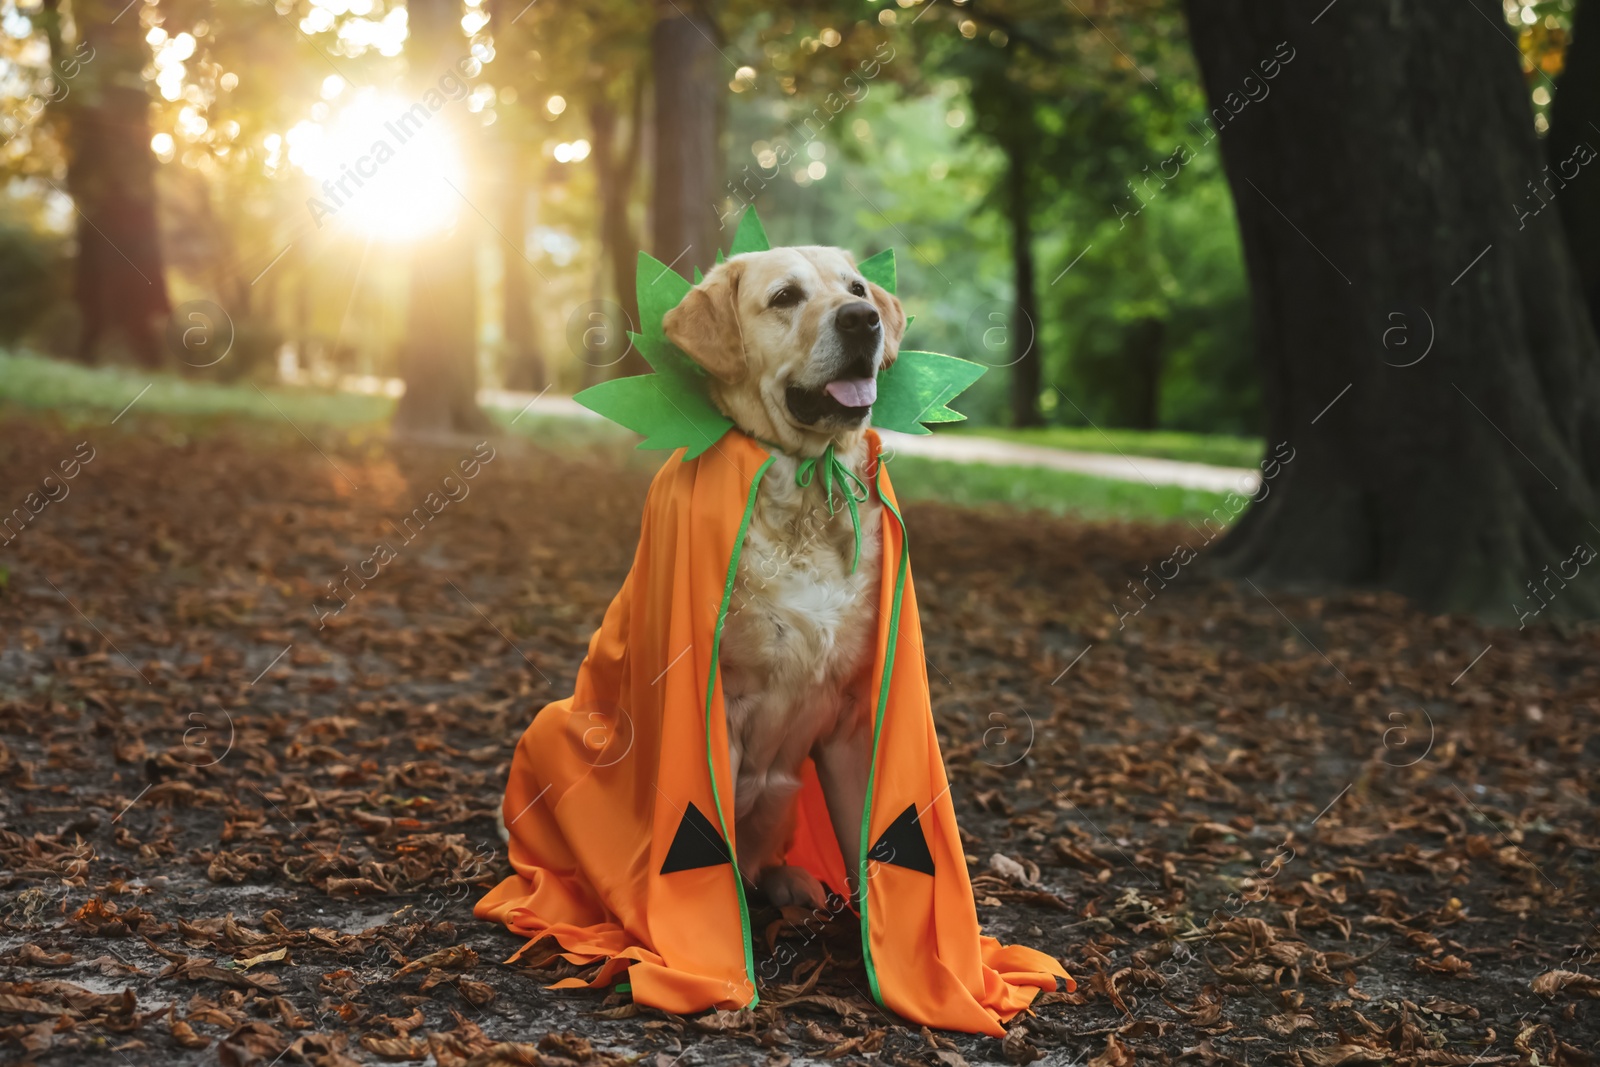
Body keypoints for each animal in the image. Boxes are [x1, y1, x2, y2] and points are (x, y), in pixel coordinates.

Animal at [656, 247, 908, 908]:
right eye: (785, 298)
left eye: (856, 288)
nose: (863, 320)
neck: (810, 496)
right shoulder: (724, 710)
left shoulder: (852, 722)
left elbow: (866, 844)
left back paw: (789, 882)